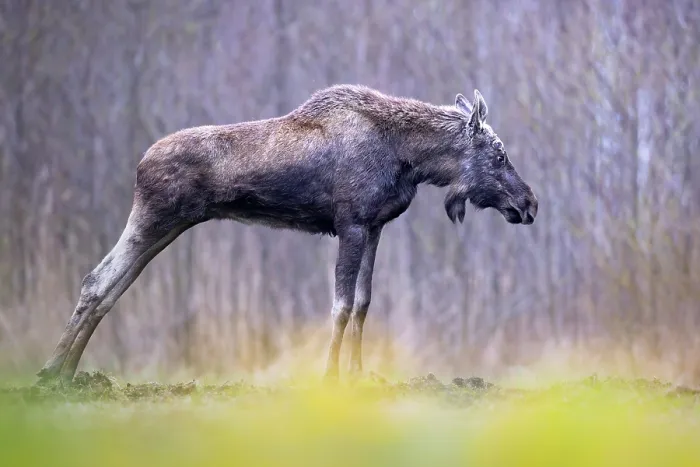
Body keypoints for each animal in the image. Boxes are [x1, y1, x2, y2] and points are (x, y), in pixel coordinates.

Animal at [36, 84, 538, 385]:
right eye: (499, 153)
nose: (529, 203)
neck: (410, 159)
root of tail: (139, 164)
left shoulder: (374, 227)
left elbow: (363, 304)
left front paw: (360, 375)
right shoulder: (350, 224)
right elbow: (340, 306)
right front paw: (330, 377)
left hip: (168, 226)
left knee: (108, 286)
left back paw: (67, 374)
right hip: (153, 218)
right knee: (98, 281)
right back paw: (52, 372)